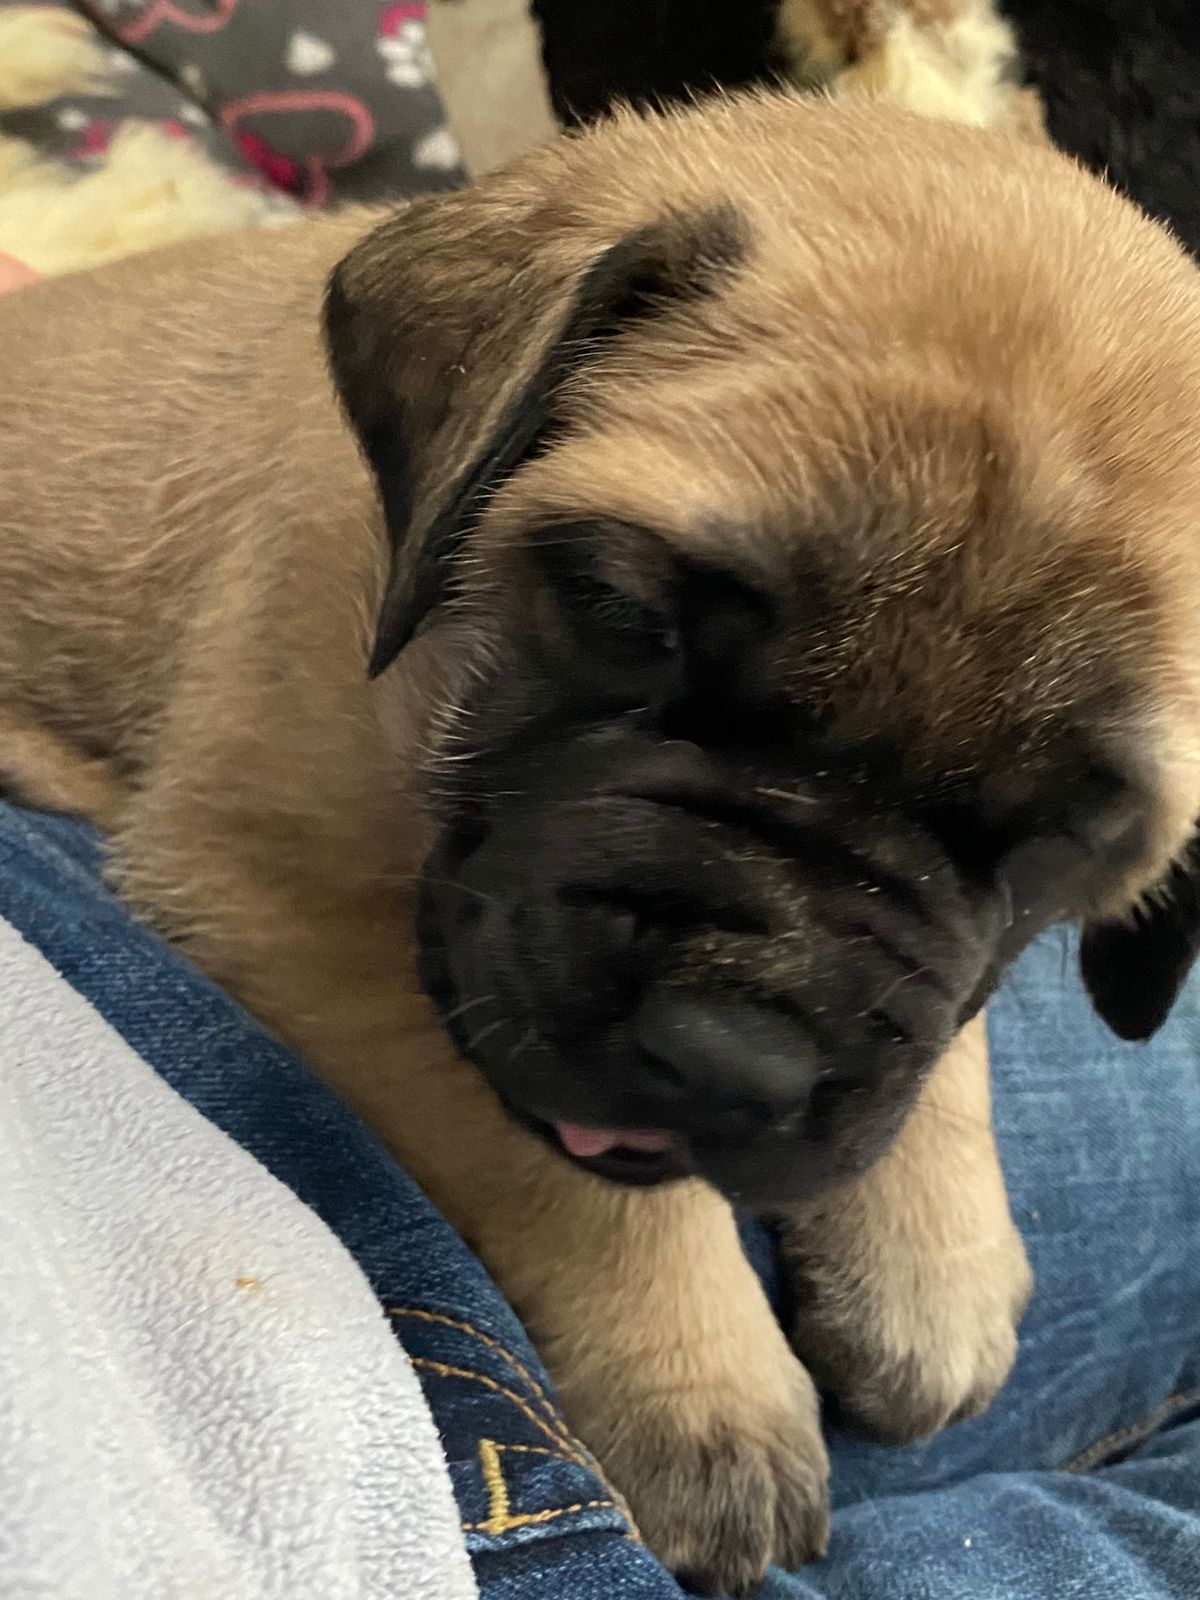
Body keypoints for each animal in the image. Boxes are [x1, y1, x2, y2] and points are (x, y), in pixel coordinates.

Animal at [3, 91, 1200, 1595]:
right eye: (624, 615)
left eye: (1067, 839)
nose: (735, 1061)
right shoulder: (287, 890)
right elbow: (574, 1173)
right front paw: (699, 1387)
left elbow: (931, 1016)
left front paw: (937, 1246)